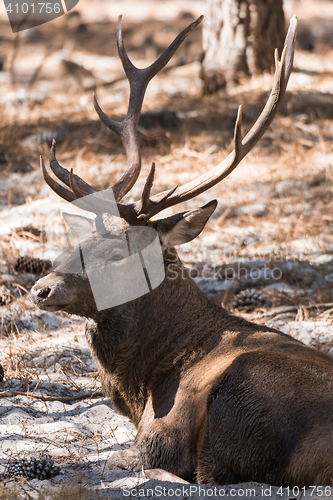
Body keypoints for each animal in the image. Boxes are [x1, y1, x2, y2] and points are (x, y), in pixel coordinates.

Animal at [29, 16, 333, 488]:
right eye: (79, 243)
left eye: (117, 254)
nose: (41, 289)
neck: (141, 385)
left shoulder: (161, 433)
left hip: (243, 391)